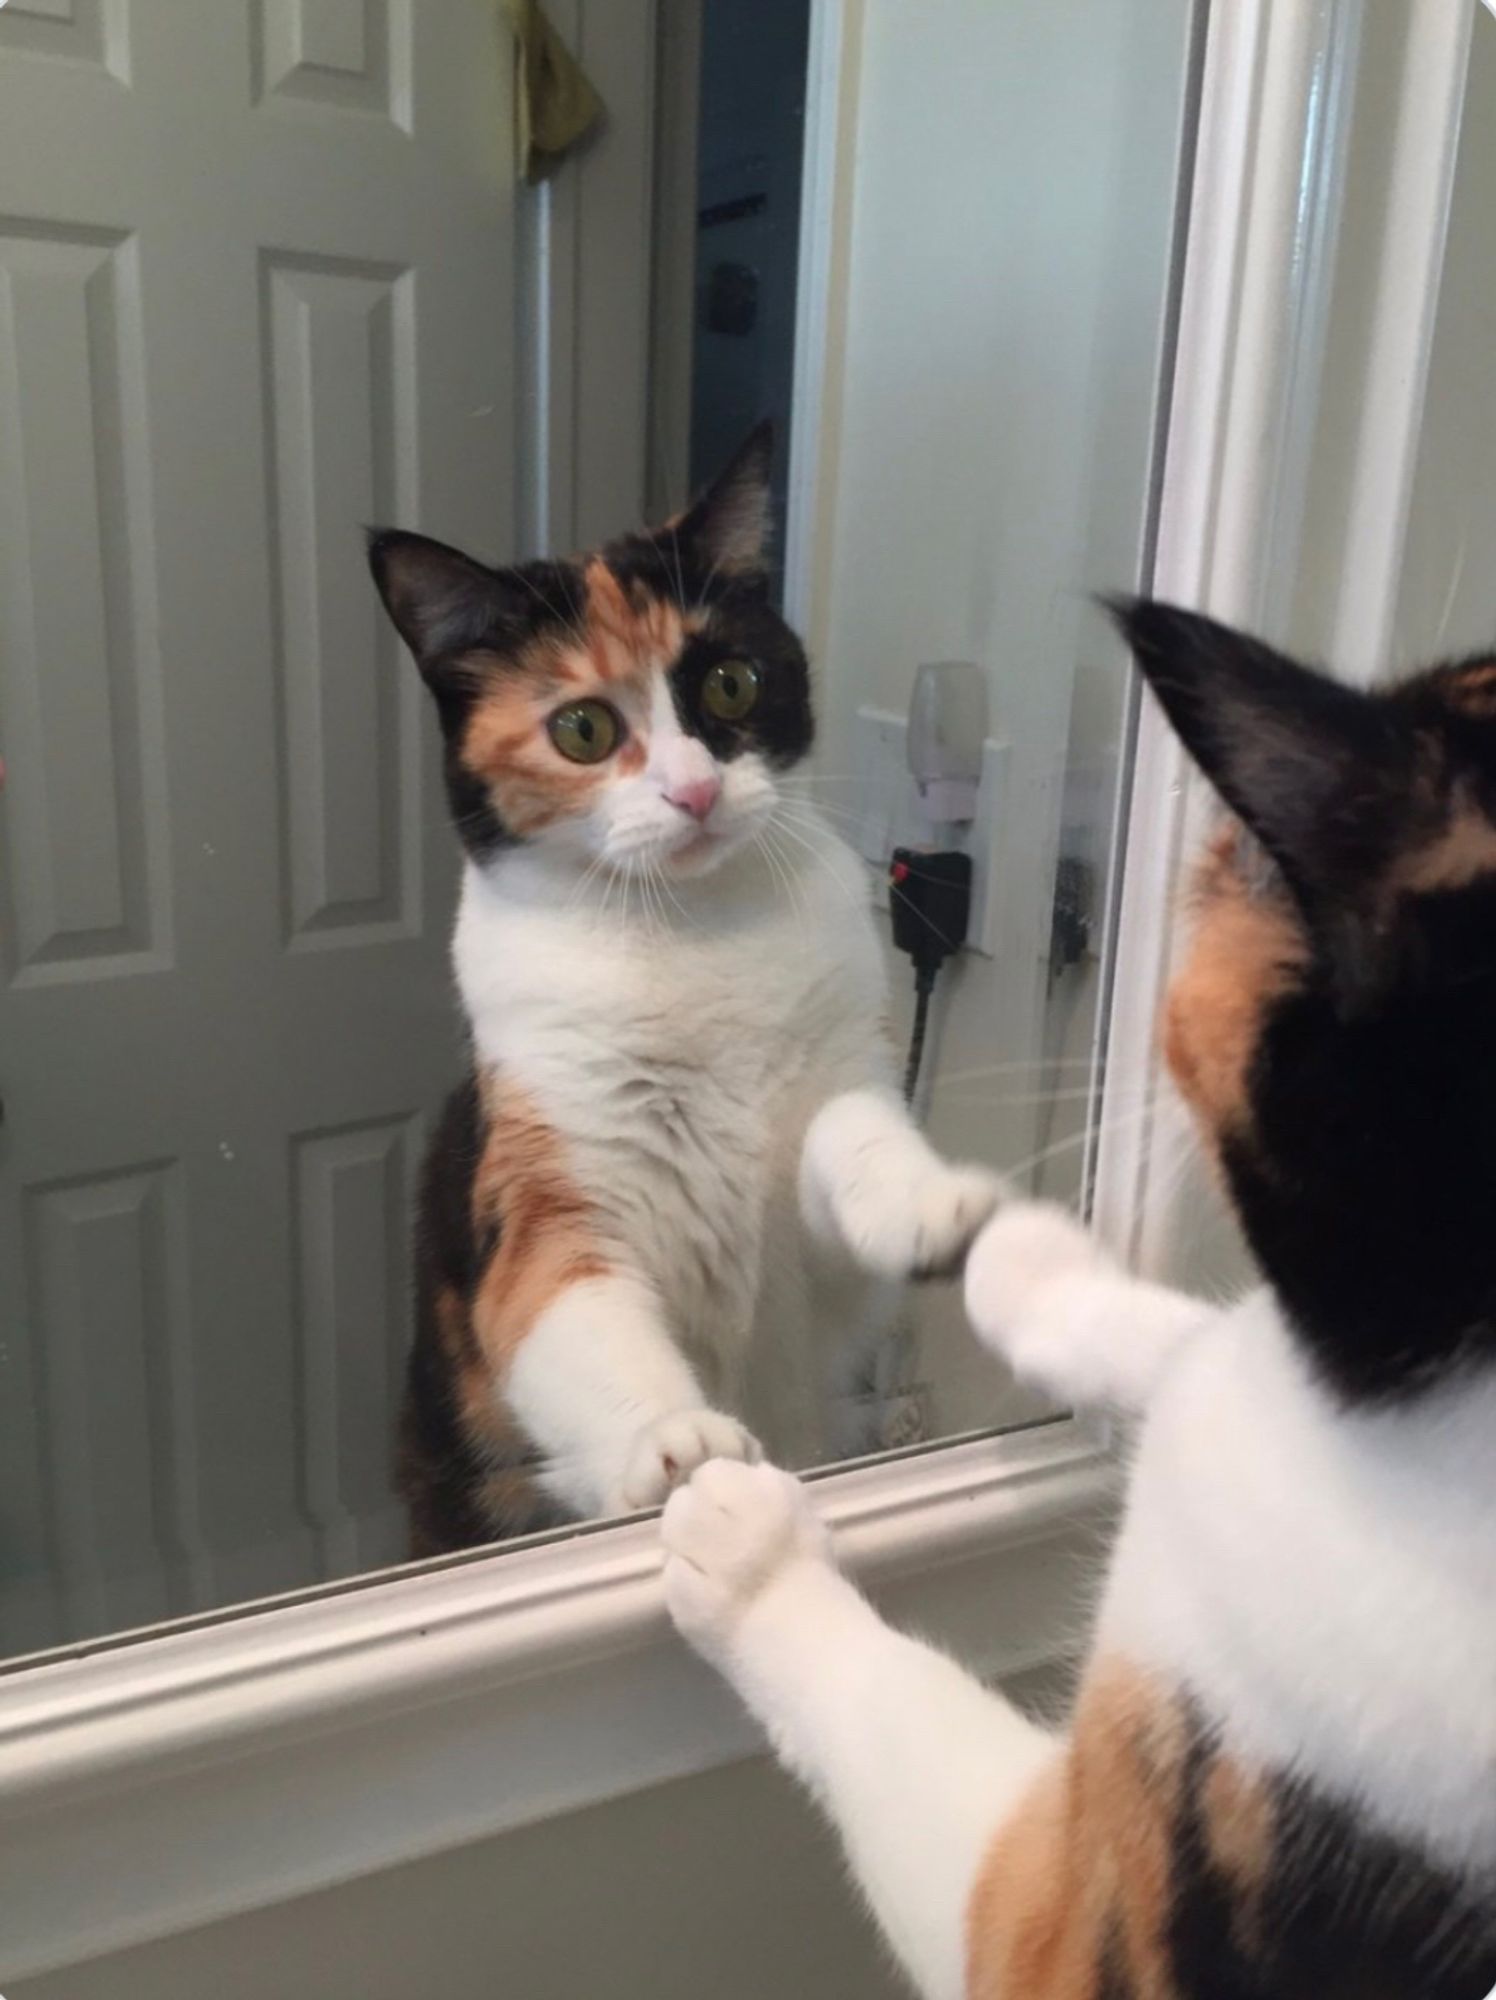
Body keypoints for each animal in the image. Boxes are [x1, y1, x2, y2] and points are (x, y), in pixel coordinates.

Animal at [366, 426, 1000, 1560]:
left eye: (734, 684)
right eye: (580, 729)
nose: (696, 791)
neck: (692, 937)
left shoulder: (836, 1128)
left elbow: (853, 1134)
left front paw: (932, 1201)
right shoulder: (542, 1199)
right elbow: (581, 1317)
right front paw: (675, 1440)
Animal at [660, 596, 1496, 2000]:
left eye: (1241, 854)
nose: (1206, 848)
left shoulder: (1068, 1916)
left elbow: (884, 1699)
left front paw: (741, 1540)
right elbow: (1182, 1341)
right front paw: (1015, 1254)